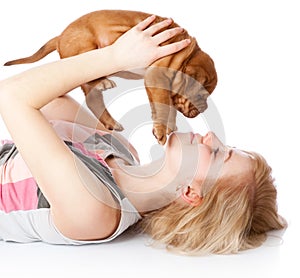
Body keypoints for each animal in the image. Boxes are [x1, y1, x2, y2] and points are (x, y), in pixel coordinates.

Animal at [3, 9, 217, 144]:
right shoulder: (157, 77)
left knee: (92, 99)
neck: (185, 56)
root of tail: (60, 37)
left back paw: (110, 120)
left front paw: (170, 127)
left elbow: (168, 106)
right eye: (201, 96)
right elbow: (164, 106)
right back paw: (103, 83)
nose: (204, 109)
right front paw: (161, 132)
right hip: (87, 49)